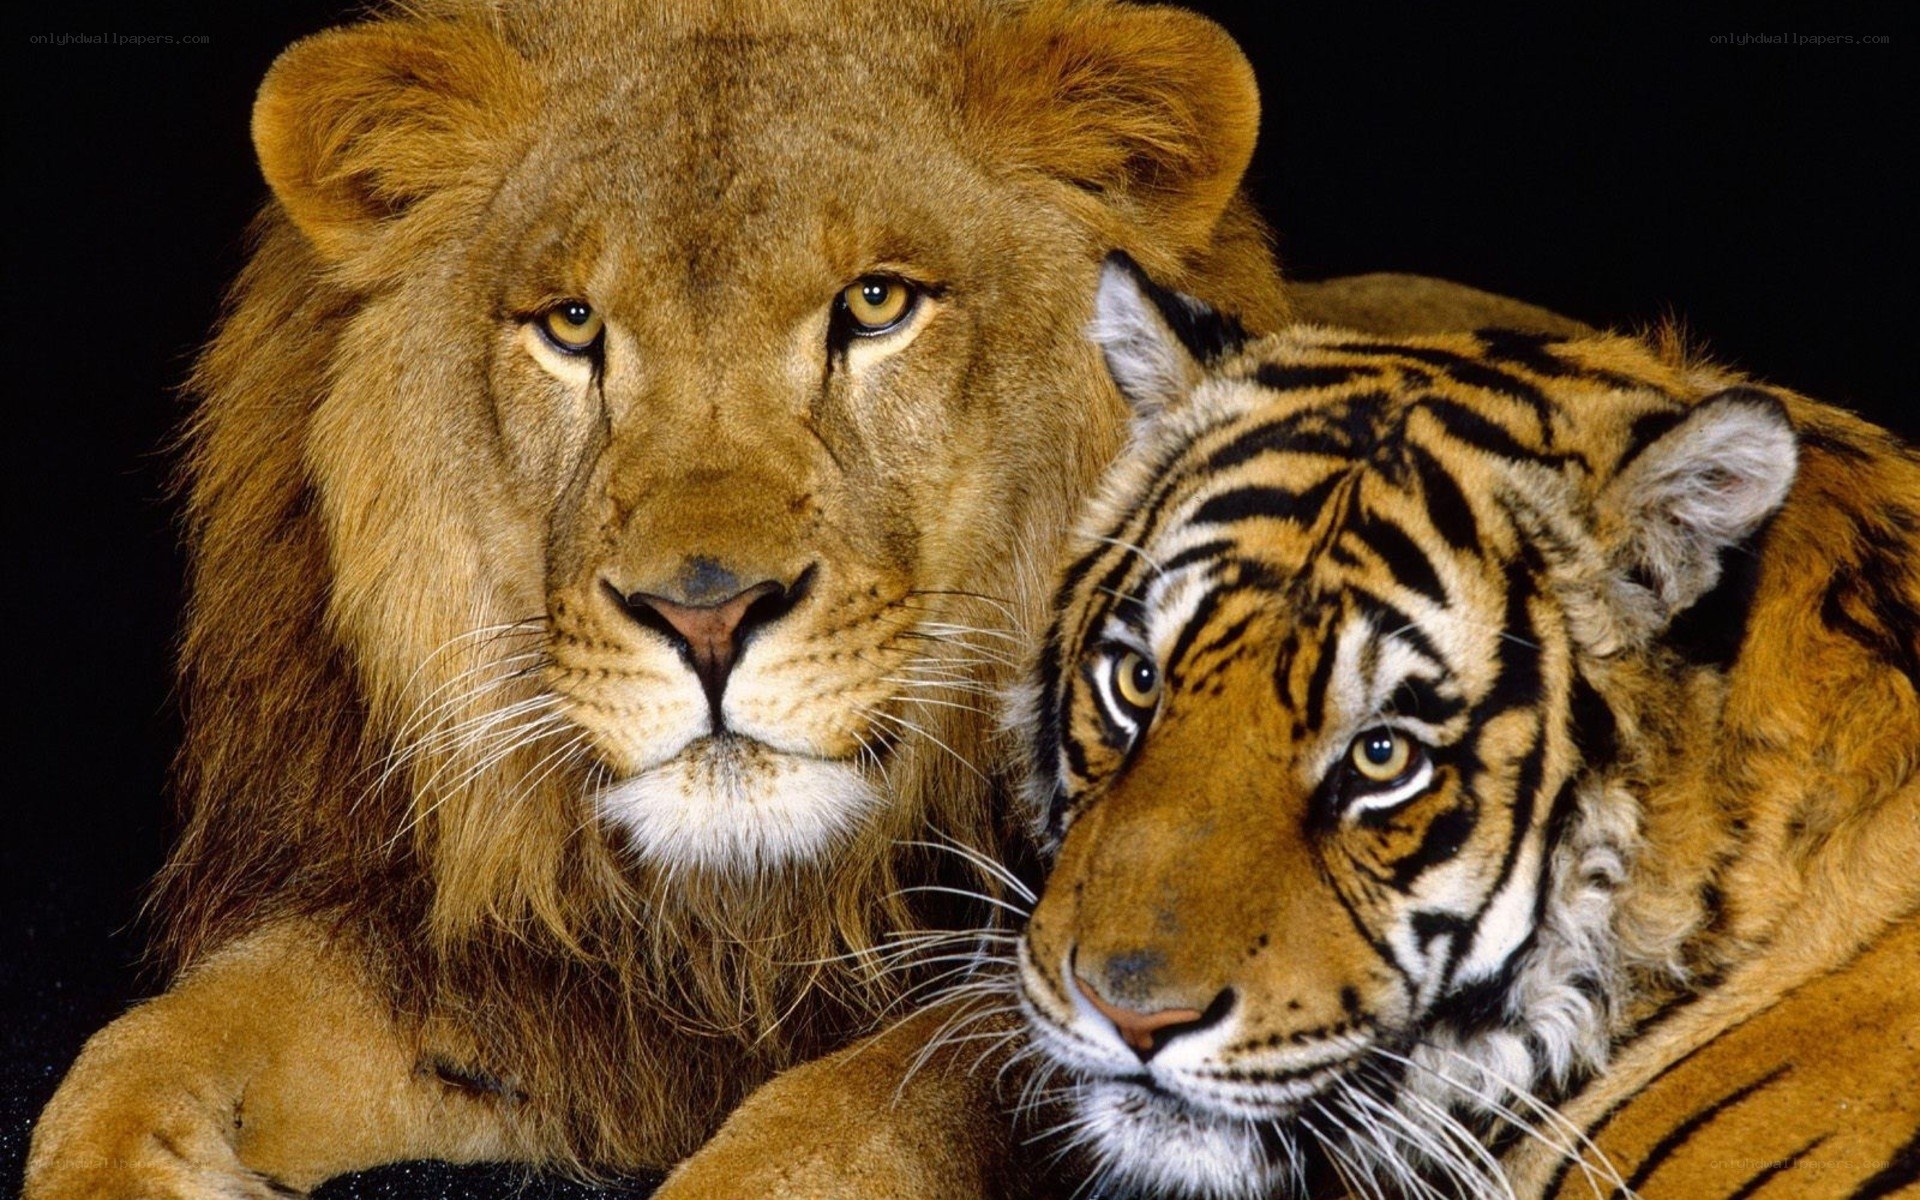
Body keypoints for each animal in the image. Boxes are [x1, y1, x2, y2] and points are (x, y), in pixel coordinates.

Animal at [24, 2, 1580, 1196]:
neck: (756, 912)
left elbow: (858, 1114)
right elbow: (148, 1052)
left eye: (877, 303)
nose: (708, 616)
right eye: (572, 325)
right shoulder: (521, 970)